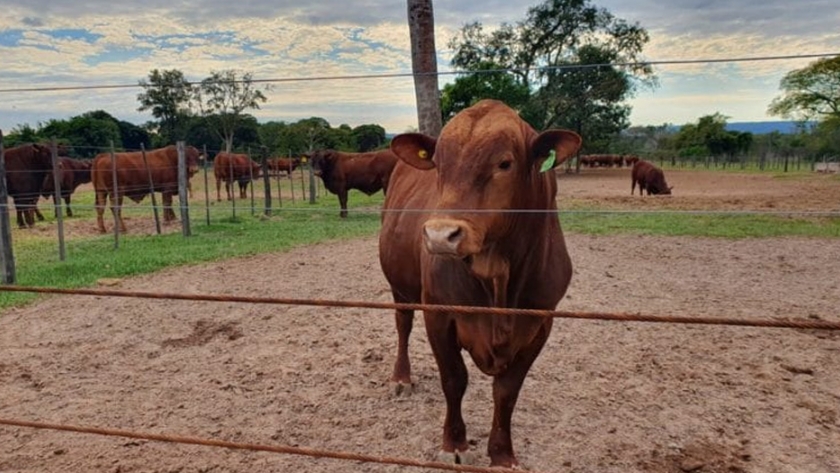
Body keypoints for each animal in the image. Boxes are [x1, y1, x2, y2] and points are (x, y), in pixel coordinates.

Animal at [378, 97, 580, 466]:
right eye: (440, 164)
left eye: (505, 163)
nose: (440, 235)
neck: (498, 278)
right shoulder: (439, 314)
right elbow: (454, 379)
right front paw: (453, 444)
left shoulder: (541, 323)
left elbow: (507, 391)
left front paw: (502, 454)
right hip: (400, 287)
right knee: (403, 325)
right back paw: (402, 378)